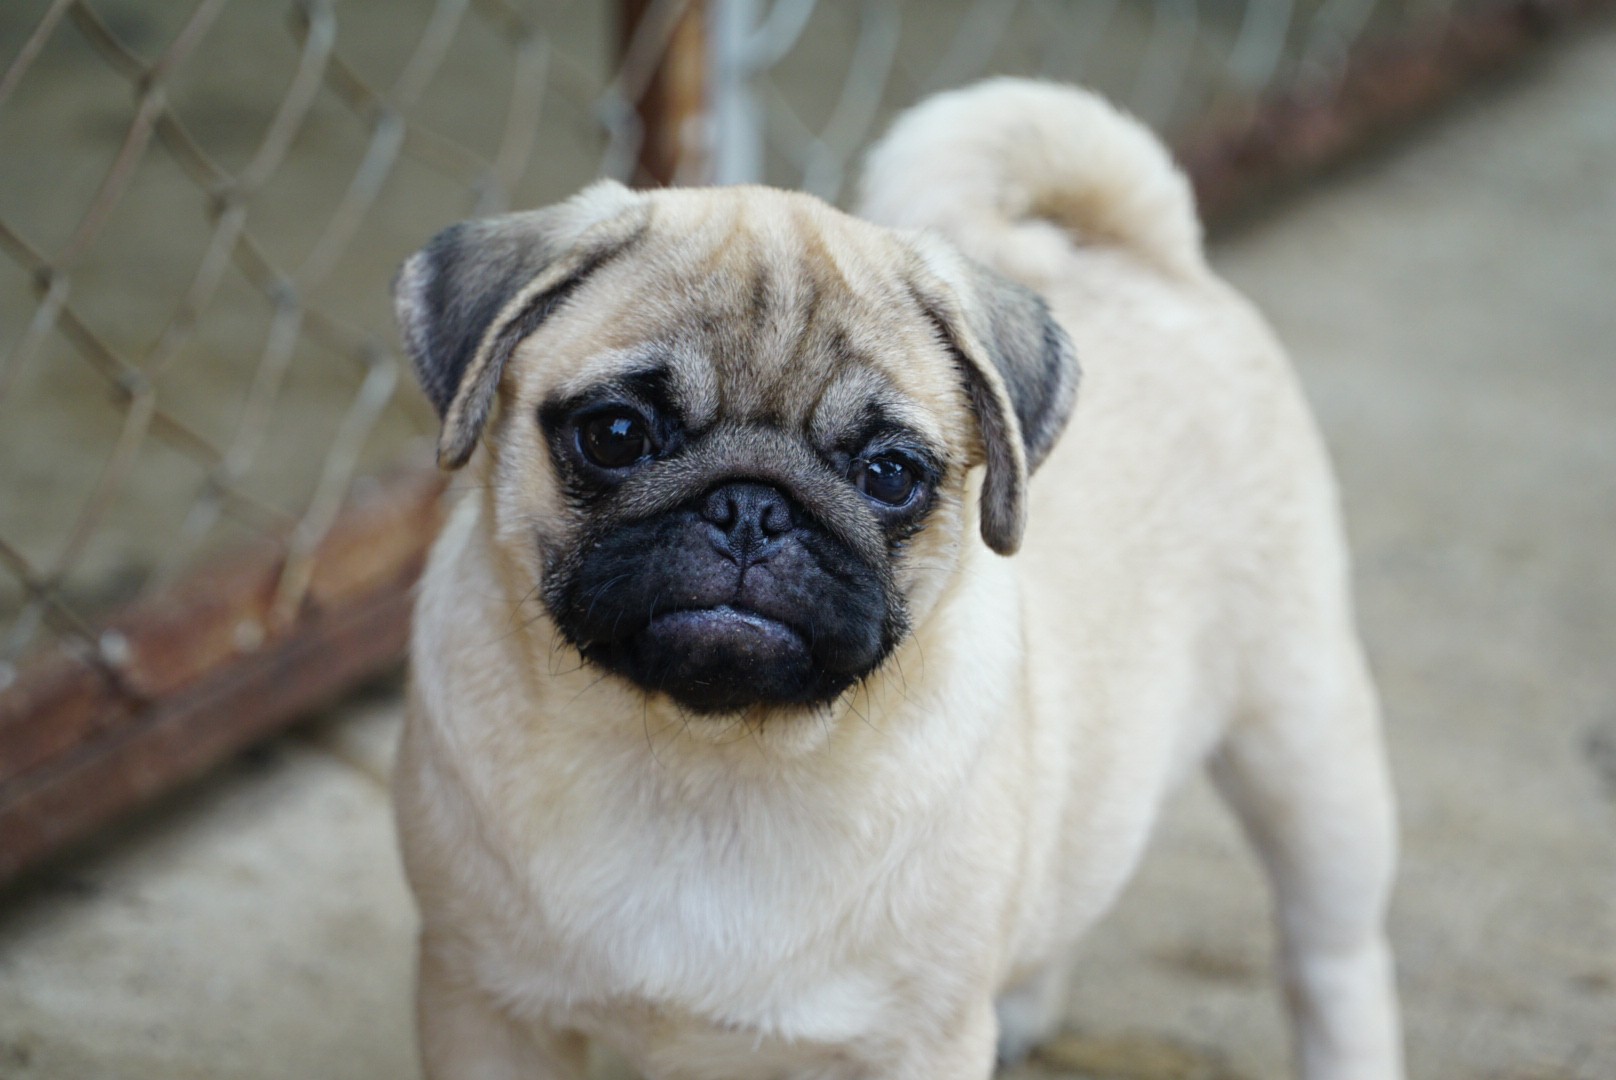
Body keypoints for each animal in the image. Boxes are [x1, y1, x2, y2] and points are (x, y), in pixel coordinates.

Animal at [390, 79, 1403, 1080]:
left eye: (888, 474)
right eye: (615, 435)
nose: (751, 508)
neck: (701, 765)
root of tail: (1153, 260)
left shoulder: (918, 1042)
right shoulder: (483, 1005)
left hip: (1306, 748)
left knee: (1332, 960)